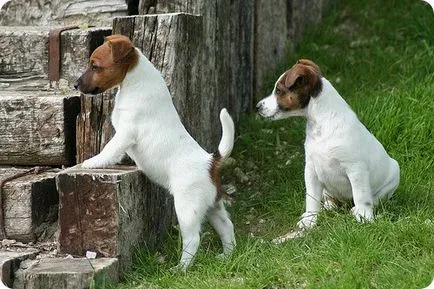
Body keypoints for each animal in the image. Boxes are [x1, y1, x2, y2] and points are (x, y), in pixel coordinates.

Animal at [75, 35, 237, 268]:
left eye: (95, 66)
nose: (75, 84)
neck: (133, 83)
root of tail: (211, 162)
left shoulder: (125, 133)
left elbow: (109, 149)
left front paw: (93, 162)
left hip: (187, 209)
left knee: (192, 240)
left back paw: (181, 268)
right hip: (213, 207)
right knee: (227, 227)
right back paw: (227, 256)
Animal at [256, 58, 402, 238]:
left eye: (278, 90)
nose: (257, 106)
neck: (321, 123)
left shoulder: (356, 170)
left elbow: (361, 195)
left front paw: (364, 217)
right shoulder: (311, 170)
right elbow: (311, 198)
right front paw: (310, 220)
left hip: (393, 176)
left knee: (374, 198)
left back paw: (357, 209)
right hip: (326, 187)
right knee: (329, 199)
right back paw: (328, 207)